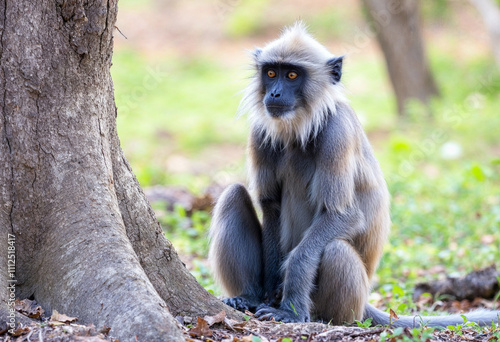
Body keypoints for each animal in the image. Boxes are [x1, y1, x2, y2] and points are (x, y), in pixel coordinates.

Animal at [208, 22, 500, 328]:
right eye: (271, 73)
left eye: (292, 75)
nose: (274, 93)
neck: (301, 128)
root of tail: (362, 305)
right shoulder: (259, 132)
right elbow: (271, 207)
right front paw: (265, 295)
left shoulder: (337, 130)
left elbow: (343, 216)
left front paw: (290, 311)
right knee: (232, 195)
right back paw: (249, 297)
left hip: (350, 300)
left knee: (335, 249)